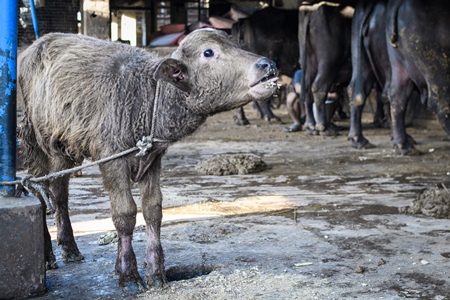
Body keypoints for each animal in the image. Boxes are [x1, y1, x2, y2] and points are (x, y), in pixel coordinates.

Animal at [18, 28, 278, 292]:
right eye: (208, 52)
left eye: (234, 43)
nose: (268, 64)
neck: (145, 96)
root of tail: (36, 45)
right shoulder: (112, 159)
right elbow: (125, 214)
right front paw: (129, 275)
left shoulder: (152, 159)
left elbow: (153, 210)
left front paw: (154, 271)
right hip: (39, 144)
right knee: (41, 192)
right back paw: (47, 256)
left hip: (63, 149)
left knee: (59, 194)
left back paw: (70, 248)